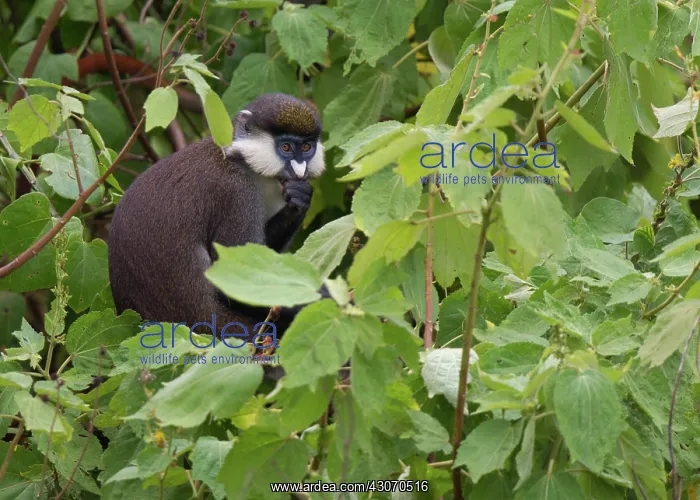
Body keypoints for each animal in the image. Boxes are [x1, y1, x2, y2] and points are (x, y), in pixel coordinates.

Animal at [107, 93, 325, 340]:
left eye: (307, 147)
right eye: (286, 147)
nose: (300, 170)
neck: (242, 161)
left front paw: (300, 198)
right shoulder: (236, 193)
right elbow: (239, 280)